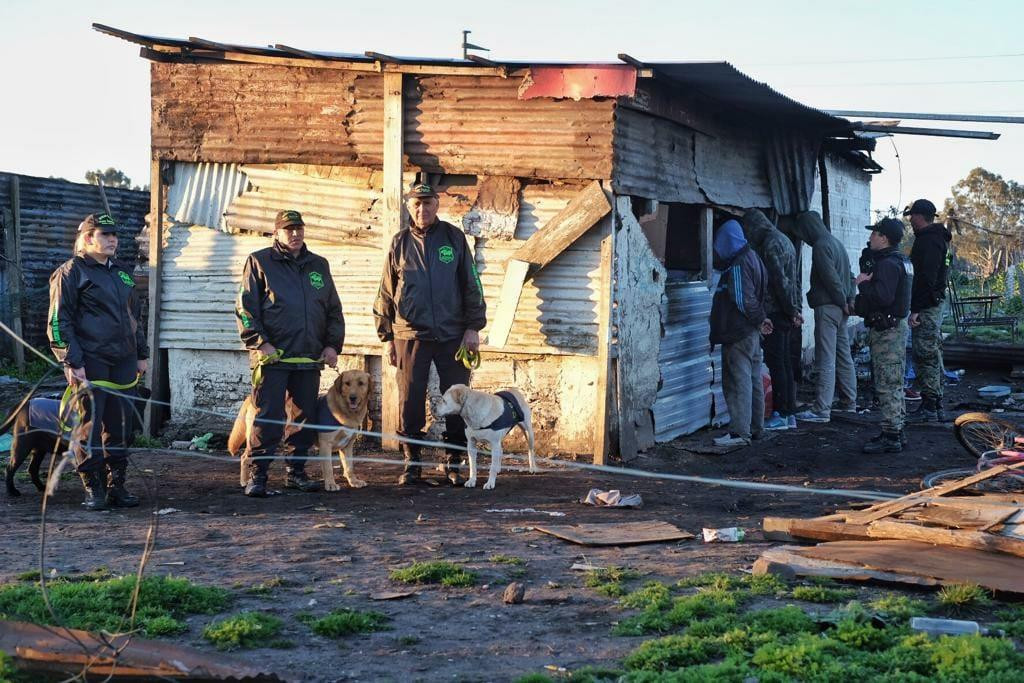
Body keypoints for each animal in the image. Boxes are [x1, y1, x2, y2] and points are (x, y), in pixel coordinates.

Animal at [2, 385, 149, 497]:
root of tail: (24, 403)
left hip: (39, 448)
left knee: (32, 469)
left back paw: (41, 487)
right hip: (22, 445)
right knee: (10, 468)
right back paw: (12, 491)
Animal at [227, 370, 372, 489]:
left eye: (361, 383)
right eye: (347, 383)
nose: (352, 397)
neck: (346, 411)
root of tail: (250, 397)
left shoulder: (347, 446)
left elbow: (349, 467)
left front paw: (353, 481)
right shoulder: (326, 445)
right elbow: (328, 468)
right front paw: (330, 484)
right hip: (257, 436)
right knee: (244, 457)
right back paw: (245, 481)